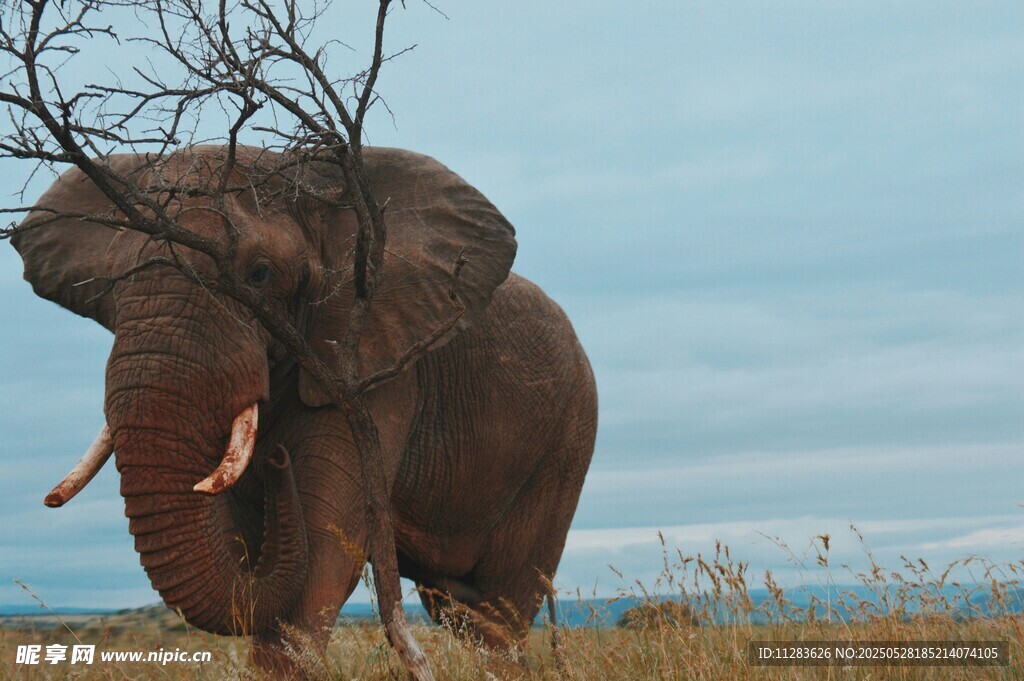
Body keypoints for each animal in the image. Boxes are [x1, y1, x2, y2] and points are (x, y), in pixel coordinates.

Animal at [10, 145, 597, 667]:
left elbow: (325, 541)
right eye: (111, 288)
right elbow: (250, 546)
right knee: (457, 607)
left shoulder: (373, 369)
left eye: (260, 274)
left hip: (566, 442)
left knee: (499, 612)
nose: (278, 461)